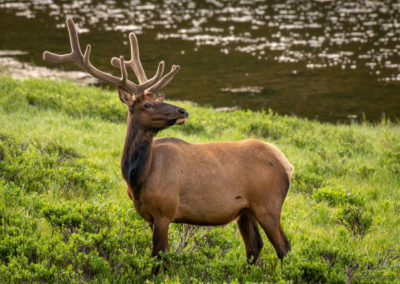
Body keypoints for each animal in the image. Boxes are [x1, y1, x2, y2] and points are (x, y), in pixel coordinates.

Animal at [44, 18, 294, 266]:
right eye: (147, 104)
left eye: (156, 100)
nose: (183, 110)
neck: (138, 177)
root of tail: (286, 164)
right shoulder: (149, 216)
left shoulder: (165, 212)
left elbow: (160, 257)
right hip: (245, 210)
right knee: (254, 247)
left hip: (268, 205)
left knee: (283, 247)